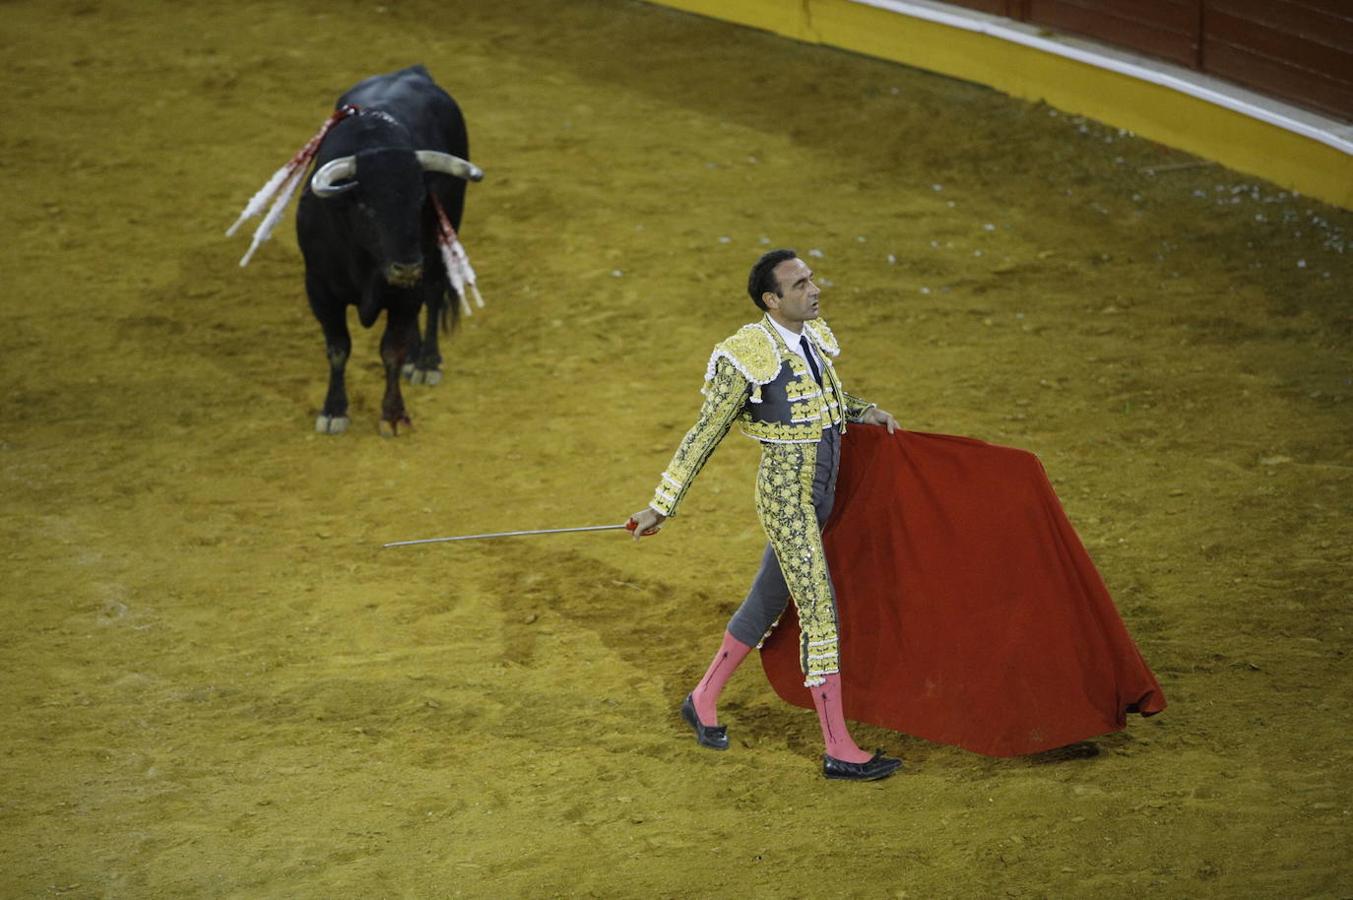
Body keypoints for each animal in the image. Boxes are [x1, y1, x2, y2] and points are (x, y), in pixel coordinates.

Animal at [296, 63, 481, 435]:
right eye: (367, 207)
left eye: (421, 200)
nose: (406, 267)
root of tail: (414, 71)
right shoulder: (320, 289)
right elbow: (338, 349)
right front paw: (333, 410)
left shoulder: (408, 289)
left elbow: (391, 350)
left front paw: (394, 414)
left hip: (436, 255)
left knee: (434, 295)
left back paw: (425, 361)